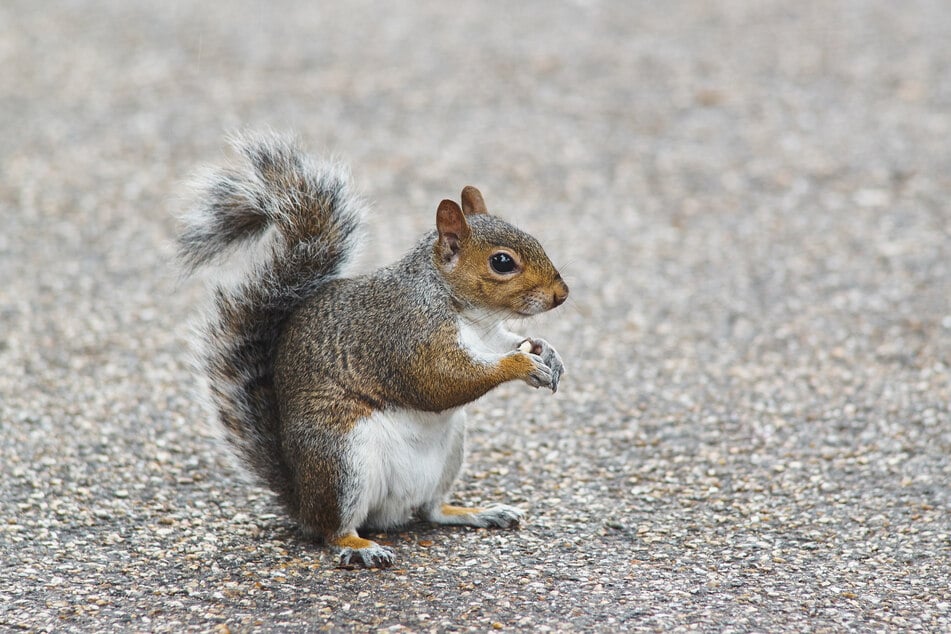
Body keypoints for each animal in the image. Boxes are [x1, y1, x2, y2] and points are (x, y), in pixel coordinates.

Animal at [176, 133, 568, 568]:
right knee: (333, 530)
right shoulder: (405, 335)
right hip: (341, 460)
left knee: (432, 510)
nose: (562, 294)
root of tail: (301, 501)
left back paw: (476, 512)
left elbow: (504, 344)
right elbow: (440, 382)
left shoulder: (489, 335)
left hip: (449, 450)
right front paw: (520, 364)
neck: (469, 313)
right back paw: (360, 546)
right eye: (502, 262)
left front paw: (547, 352)